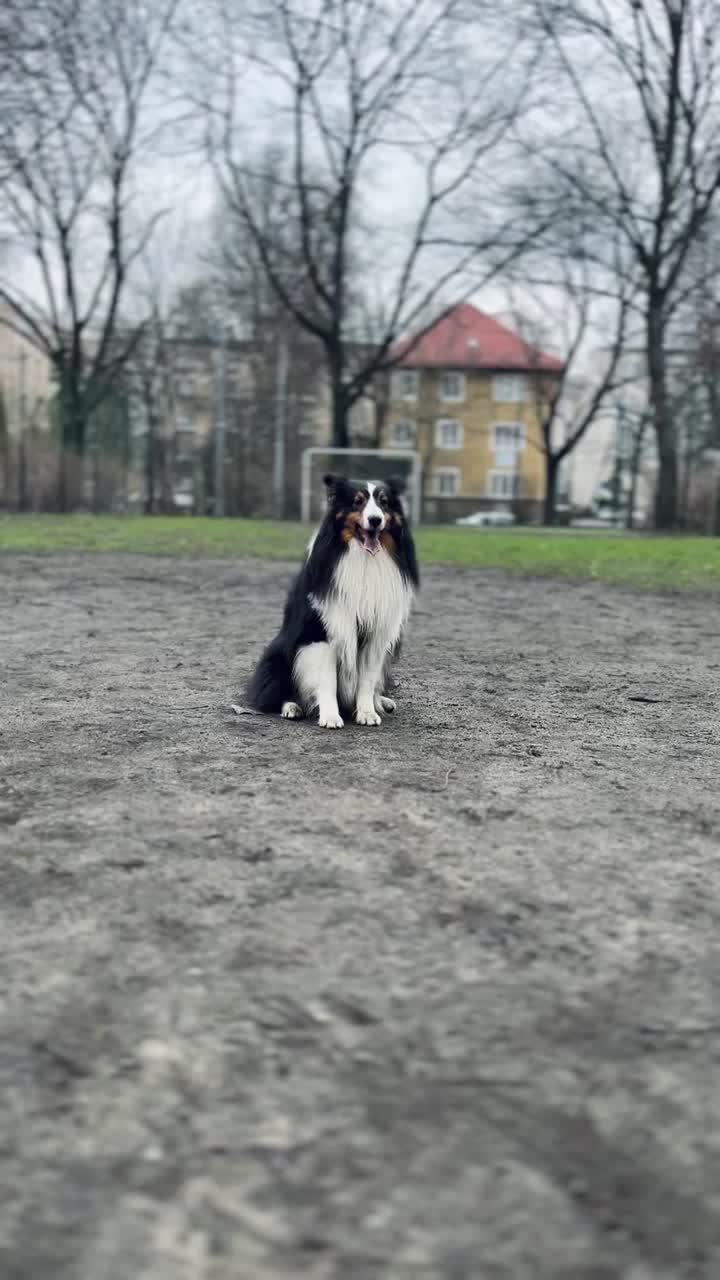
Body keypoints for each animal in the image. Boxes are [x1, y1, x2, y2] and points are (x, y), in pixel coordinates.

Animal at [243, 473, 417, 732]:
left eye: (384, 502)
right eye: (357, 502)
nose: (375, 520)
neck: (364, 560)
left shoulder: (376, 635)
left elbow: (367, 680)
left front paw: (367, 711)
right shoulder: (322, 633)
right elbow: (328, 681)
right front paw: (330, 716)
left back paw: (381, 701)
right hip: (278, 656)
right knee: (274, 692)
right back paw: (292, 707)